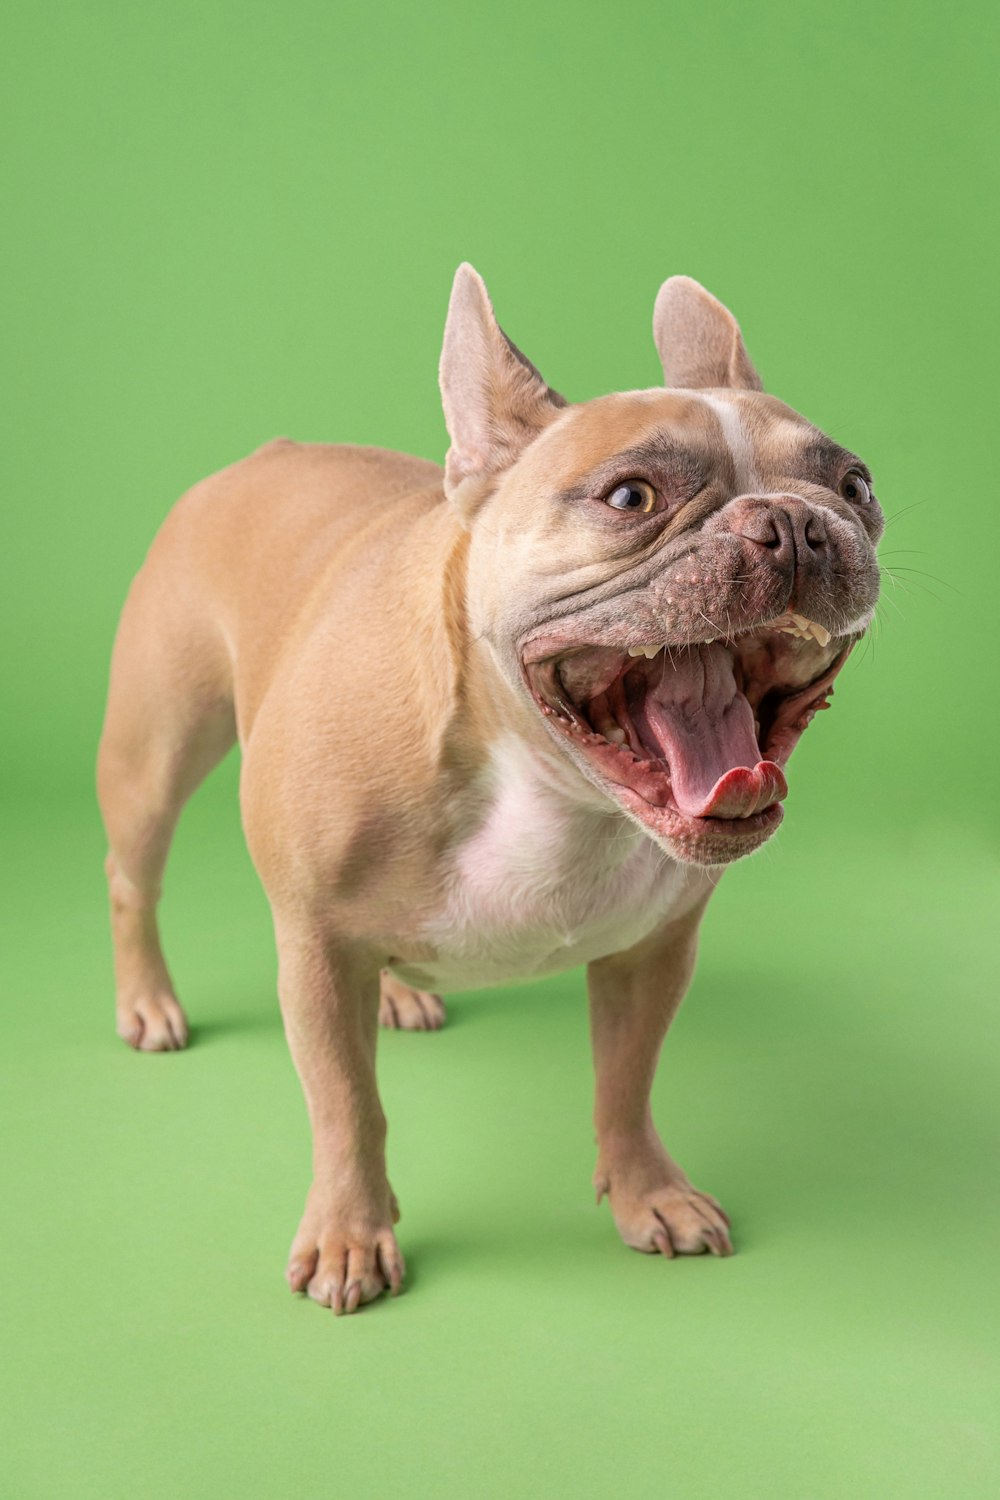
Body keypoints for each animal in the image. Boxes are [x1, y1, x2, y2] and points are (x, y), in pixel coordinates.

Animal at [97, 267, 881, 1314]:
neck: (553, 789)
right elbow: (347, 1104)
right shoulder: (313, 947)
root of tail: (267, 454)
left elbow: (626, 1081)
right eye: (630, 496)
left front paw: (647, 1191)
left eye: (855, 487)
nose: (794, 522)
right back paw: (149, 1002)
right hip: (156, 749)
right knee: (133, 876)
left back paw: (399, 995)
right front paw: (350, 1234)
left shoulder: (652, 953)